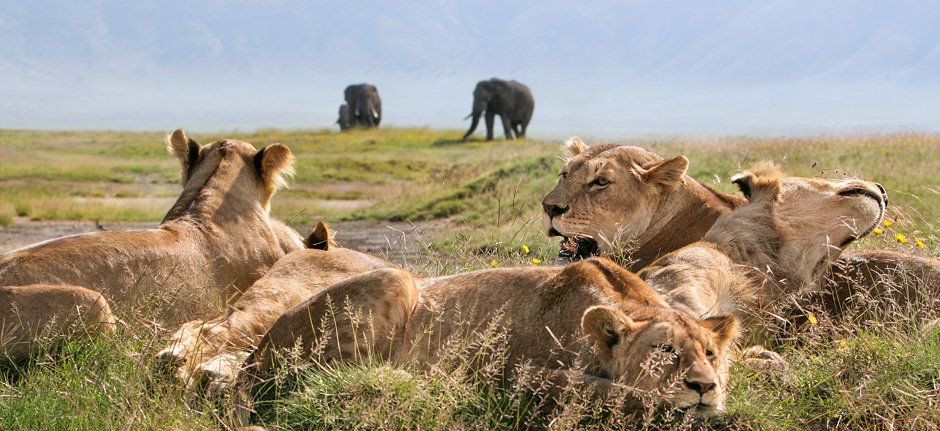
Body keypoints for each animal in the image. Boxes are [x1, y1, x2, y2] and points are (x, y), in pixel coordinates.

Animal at [231, 257, 739, 426]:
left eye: (711, 355)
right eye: (666, 351)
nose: (705, 386)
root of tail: (252, 357)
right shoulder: (519, 376)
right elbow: (608, 392)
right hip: (398, 279)